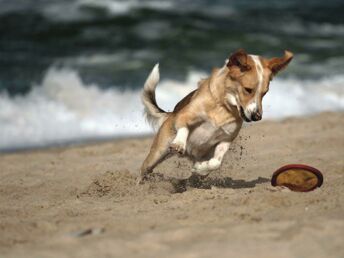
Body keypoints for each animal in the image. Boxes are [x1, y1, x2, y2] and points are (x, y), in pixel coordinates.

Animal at [138, 48, 294, 183]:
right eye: (248, 89)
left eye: (265, 93)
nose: (257, 117)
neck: (223, 106)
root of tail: (170, 114)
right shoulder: (185, 115)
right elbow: (184, 127)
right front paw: (180, 143)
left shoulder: (226, 140)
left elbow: (215, 163)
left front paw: (201, 168)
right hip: (158, 152)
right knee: (144, 169)